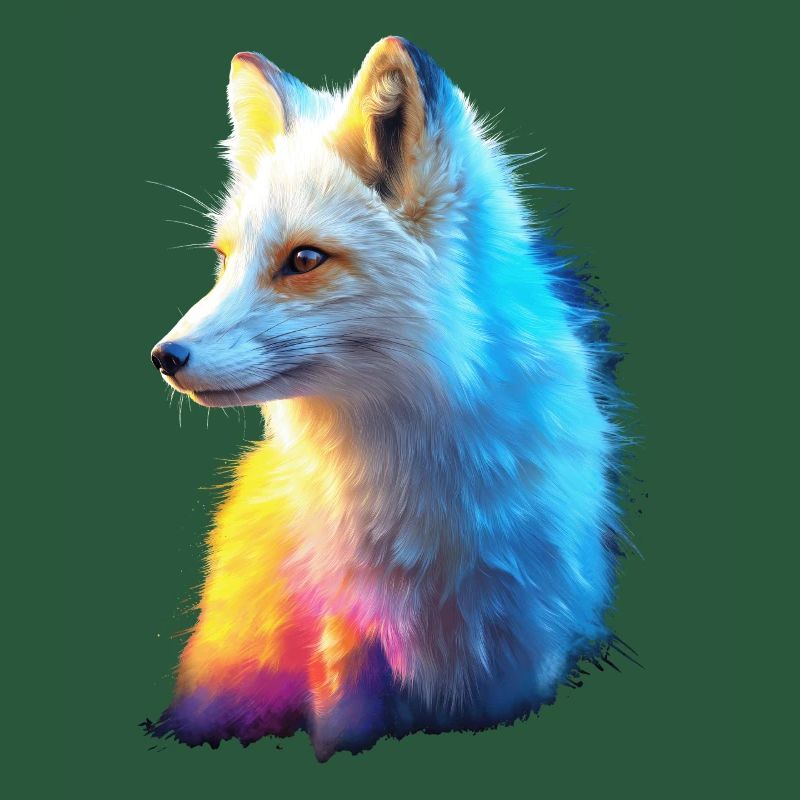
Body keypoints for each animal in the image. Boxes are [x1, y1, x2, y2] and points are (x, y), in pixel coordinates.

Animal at [149, 36, 625, 761]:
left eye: (304, 260)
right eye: (225, 260)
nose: (164, 358)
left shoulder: (529, 646)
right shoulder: (344, 644)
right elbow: (340, 728)